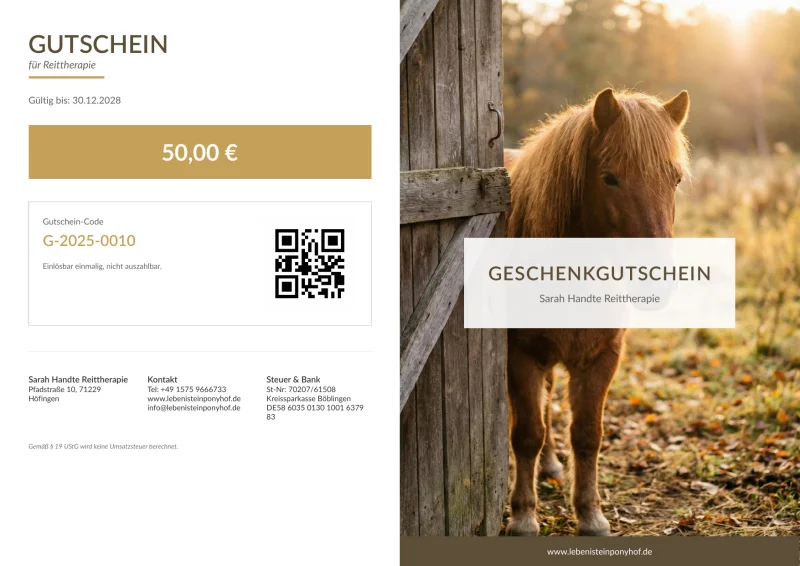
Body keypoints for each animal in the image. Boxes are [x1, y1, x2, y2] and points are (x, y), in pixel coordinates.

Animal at [504, 88, 690, 536]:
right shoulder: (520, 355)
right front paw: (523, 516)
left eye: (675, 179)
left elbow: (587, 434)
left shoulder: (601, 358)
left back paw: (552, 465)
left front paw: (590, 514)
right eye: (610, 178)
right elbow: (526, 433)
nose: (658, 279)